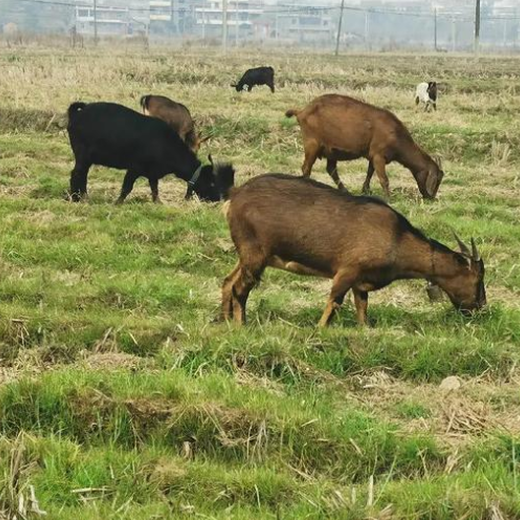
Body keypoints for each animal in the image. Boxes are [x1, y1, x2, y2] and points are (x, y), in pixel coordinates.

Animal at [68, 101, 235, 205]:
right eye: (213, 182)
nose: (218, 199)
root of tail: (80, 111)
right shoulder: (134, 168)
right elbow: (127, 187)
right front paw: (118, 203)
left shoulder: (153, 173)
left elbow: (154, 187)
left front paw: (158, 202)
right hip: (83, 156)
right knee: (77, 174)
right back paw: (78, 197)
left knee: (82, 174)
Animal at [221, 177, 486, 328]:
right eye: (477, 279)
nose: (480, 305)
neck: (397, 238)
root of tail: (235, 195)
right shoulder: (348, 270)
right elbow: (335, 301)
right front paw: (319, 330)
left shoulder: (361, 281)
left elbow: (362, 307)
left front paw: (364, 330)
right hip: (255, 253)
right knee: (240, 289)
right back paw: (241, 325)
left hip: (247, 256)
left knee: (228, 282)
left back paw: (223, 319)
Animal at [286, 93, 444, 199]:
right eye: (437, 180)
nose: (431, 198)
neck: (396, 134)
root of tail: (302, 111)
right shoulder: (379, 155)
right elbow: (384, 179)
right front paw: (388, 197)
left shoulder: (373, 154)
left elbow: (370, 171)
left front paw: (366, 190)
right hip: (312, 144)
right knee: (306, 168)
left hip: (331, 150)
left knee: (331, 169)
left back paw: (344, 191)